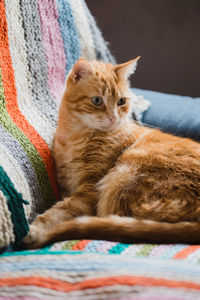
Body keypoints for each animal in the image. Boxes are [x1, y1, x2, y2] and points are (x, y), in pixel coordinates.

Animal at [24, 56, 200, 248]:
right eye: (97, 101)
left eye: (121, 101)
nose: (113, 118)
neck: (74, 136)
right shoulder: (66, 185)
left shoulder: (89, 189)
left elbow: (63, 209)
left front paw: (36, 229)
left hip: (123, 182)